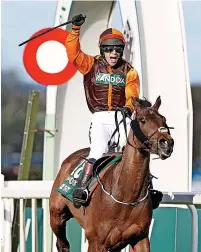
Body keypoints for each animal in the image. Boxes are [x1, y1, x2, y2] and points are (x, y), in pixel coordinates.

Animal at [49, 96, 174, 252]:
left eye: (163, 119)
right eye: (142, 119)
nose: (166, 143)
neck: (126, 196)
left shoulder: (140, 238)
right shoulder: (96, 241)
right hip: (56, 216)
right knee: (63, 243)